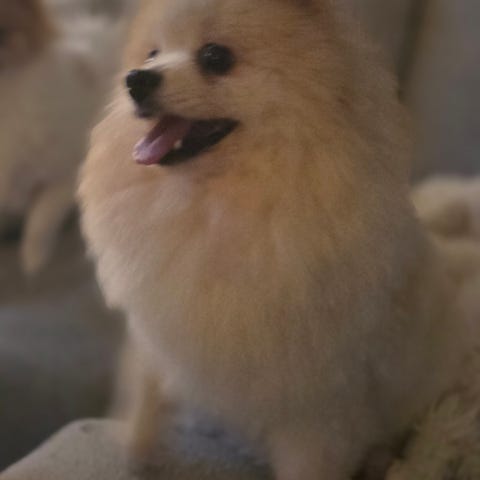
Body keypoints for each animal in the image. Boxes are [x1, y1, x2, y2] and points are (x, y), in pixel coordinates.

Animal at [78, 0, 480, 478]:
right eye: (152, 54)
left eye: (215, 57)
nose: (135, 79)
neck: (215, 204)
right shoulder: (157, 334)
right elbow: (143, 397)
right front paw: (134, 451)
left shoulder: (316, 411)